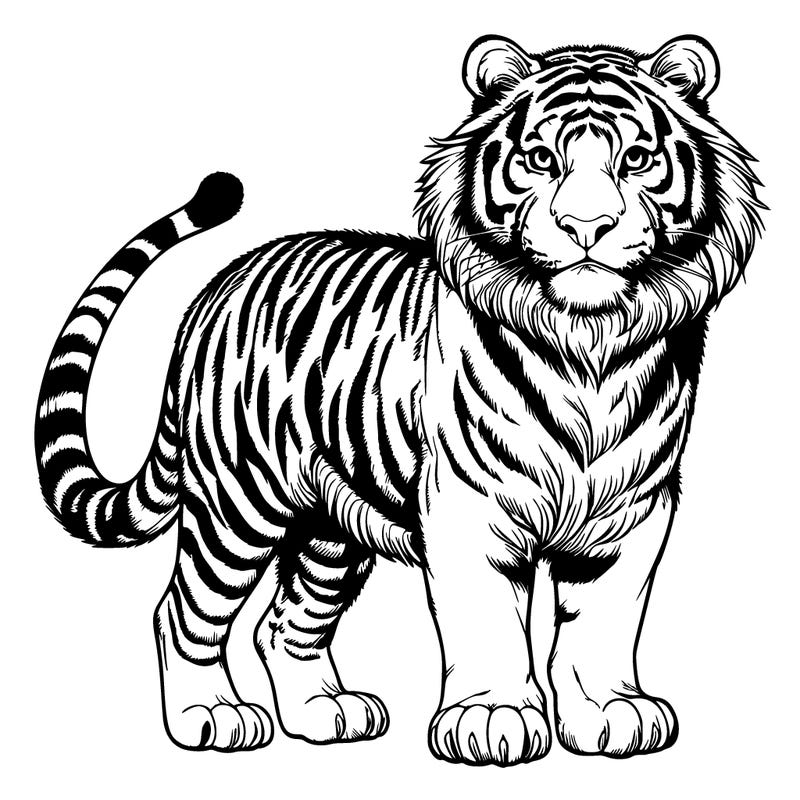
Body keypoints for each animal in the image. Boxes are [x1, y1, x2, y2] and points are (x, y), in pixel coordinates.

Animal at [35, 34, 763, 765]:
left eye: (637, 160)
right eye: (540, 160)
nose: (587, 225)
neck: (588, 342)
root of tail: (216, 289)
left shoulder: (633, 511)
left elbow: (604, 620)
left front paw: (611, 711)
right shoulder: (471, 506)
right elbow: (487, 621)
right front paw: (491, 719)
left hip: (330, 532)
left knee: (285, 623)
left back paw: (326, 711)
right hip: (236, 502)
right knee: (183, 612)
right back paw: (211, 714)